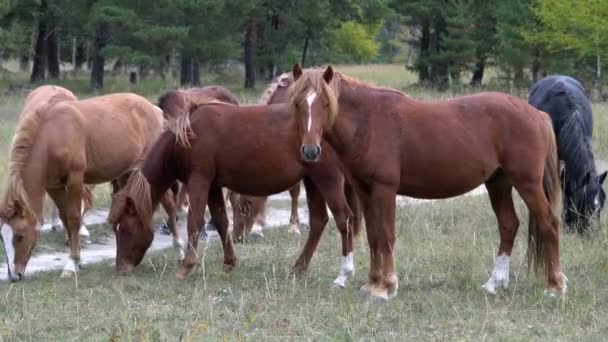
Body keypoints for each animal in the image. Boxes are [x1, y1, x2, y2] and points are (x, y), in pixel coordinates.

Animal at [0, 91, 183, 280]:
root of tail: (154, 110)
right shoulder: (54, 187)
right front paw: (78, 261)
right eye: (2, 238)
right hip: (126, 174)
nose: (14, 276)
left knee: (170, 206)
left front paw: (71, 264)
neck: (53, 134)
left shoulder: (75, 179)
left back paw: (179, 251)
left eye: (19, 236)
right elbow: (65, 218)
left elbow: (73, 219)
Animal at [108, 97, 360, 288]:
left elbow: (195, 222)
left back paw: (344, 273)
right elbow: (220, 221)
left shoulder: (199, 181)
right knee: (319, 221)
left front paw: (186, 266)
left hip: (327, 178)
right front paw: (229, 263)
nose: (121, 269)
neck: (188, 135)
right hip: (312, 181)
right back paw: (299, 267)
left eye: (127, 230)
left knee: (343, 218)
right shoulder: (213, 186)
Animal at [288, 65, 568, 300]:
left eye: (326, 103)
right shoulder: (364, 190)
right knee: (509, 225)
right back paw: (493, 283)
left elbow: (386, 236)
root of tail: (537, 114)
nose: (310, 151)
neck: (367, 121)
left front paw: (386, 287)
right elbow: (373, 236)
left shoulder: (385, 189)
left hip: (527, 183)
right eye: (299, 104)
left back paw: (555, 286)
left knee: (549, 223)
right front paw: (372, 283)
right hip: (498, 183)